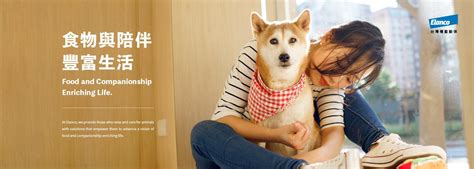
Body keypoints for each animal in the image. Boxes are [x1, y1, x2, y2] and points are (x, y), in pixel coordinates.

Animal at [248, 9, 322, 156]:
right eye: (273, 41)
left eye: (292, 40)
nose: (284, 56)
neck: (282, 88)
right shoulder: (261, 131)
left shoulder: (304, 134)